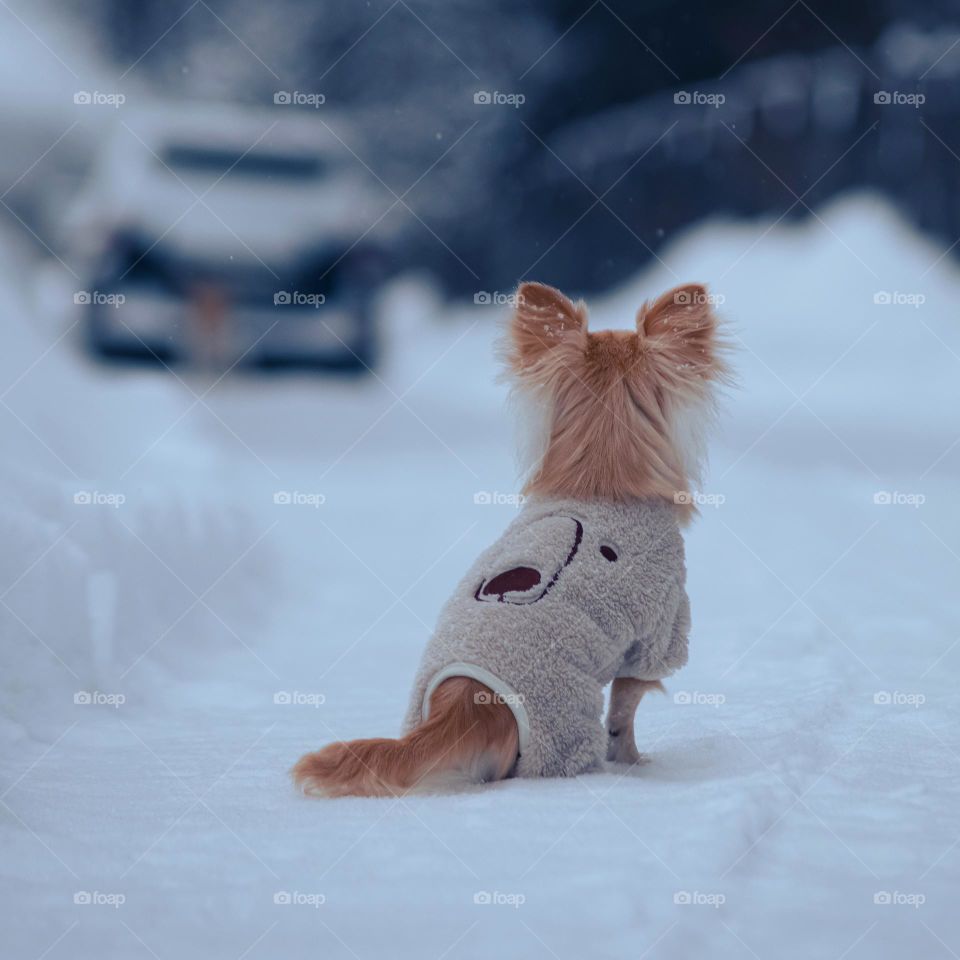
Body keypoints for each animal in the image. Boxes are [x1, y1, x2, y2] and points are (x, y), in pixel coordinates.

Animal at [292, 282, 728, 800]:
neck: (600, 476)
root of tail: (464, 705)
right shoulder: (658, 631)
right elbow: (626, 709)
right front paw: (634, 761)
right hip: (563, 723)